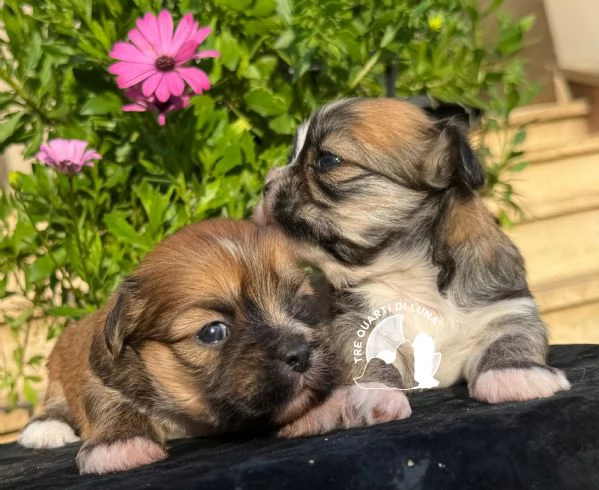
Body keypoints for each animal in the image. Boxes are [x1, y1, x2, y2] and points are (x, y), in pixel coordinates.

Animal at [19, 221, 346, 474]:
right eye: (212, 332)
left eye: (300, 306)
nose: (300, 353)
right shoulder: (101, 377)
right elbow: (111, 403)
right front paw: (121, 443)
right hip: (57, 376)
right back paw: (45, 428)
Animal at [254, 96, 572, 436]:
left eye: (327, 159)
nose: (265, 184)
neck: (409, 272)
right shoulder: (356, 321)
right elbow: (369, 356)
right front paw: (373, 397)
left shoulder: (507, 307)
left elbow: (514, 337)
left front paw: (515, 375)